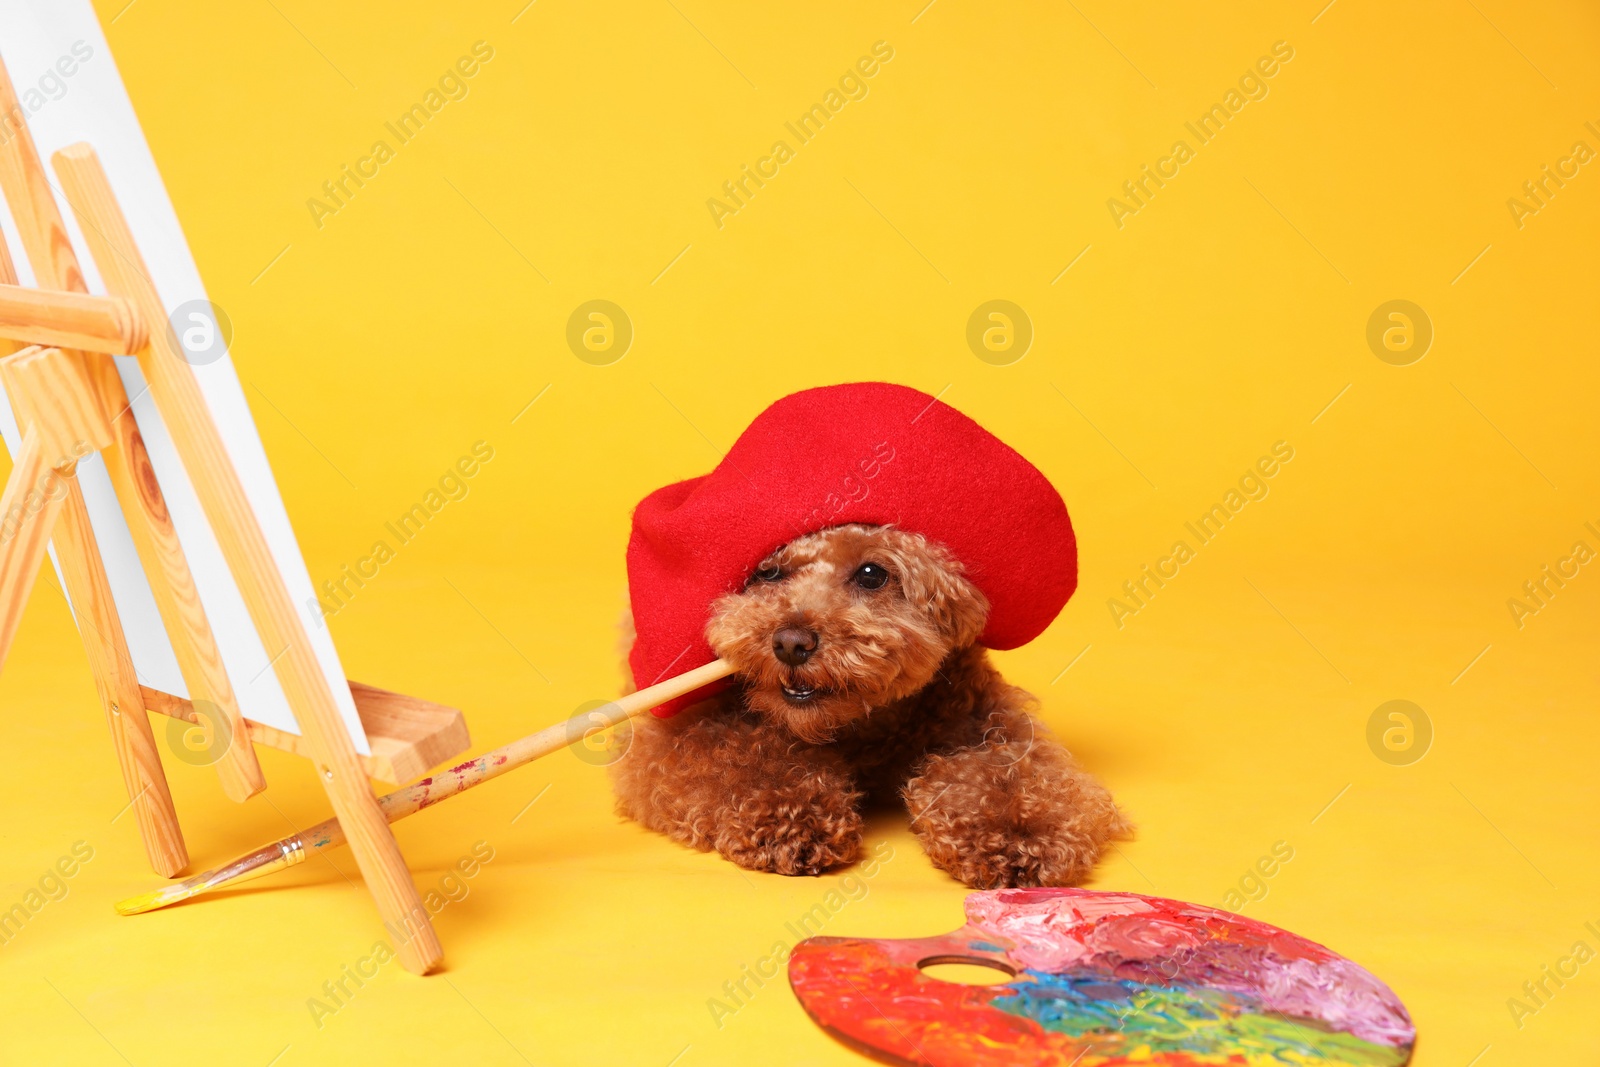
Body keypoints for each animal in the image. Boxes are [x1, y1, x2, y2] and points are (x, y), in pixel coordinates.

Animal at [608, 524, 1126, 883]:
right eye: (767, 572)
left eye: (872, 574)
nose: (791, 643)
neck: (861, 728)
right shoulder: (673, 742)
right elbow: (740, 759)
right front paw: (793, 814)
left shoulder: (991, 722)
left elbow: (1011, 774)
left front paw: (1020, 834)